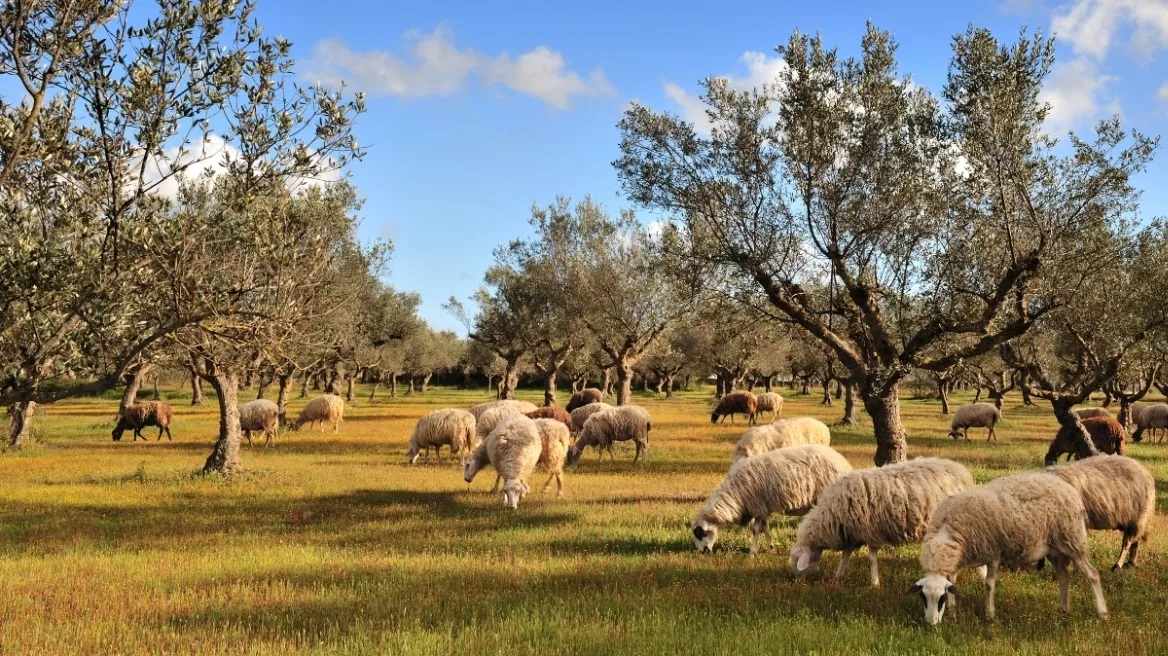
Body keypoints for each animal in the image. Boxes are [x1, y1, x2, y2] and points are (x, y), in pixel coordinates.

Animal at [686, 441, 854, 553]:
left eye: (700, 534)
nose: (703, 552)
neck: (735, 495)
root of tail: (843, 462)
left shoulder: (757, 505)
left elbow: (755, 530)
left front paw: (752, 552)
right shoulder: (763, 508)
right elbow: (765, 528)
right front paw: (770, 548)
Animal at [789, 455, 971, 588]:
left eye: (797, 559)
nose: (795, 579)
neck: (833, 514)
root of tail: (960, 470)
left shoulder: (871, 533)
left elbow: (871, 559)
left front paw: (874, 583)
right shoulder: (851, 533)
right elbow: (845, 556)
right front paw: (837, 576)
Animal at [906, 469, 1107, 620]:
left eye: (940, 598)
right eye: (923, 597)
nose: (931, 624)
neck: (948, 529)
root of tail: (1069, 488)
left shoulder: (994, 552)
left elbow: (989, 584)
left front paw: (989, 614)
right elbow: (953, 581)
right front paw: (953, 610)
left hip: (1072, 539)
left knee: (1092, 574)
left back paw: (1102, 612)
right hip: (1054, 548)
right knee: (1064, 574)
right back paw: (1063, 609)